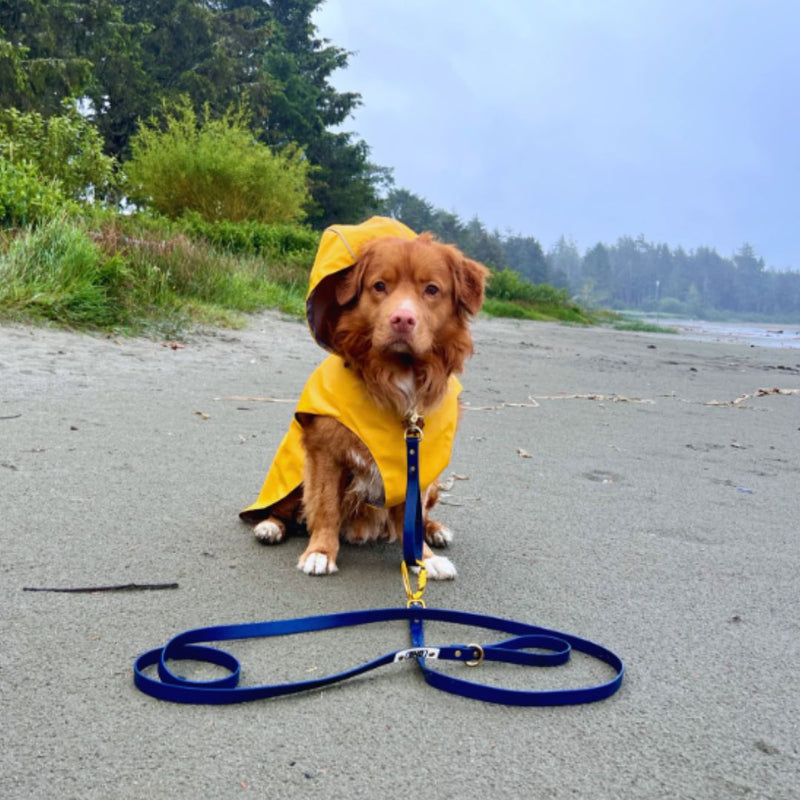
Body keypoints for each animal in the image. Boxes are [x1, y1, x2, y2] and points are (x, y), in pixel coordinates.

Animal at [241, 222, 488, 580]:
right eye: (379, 286)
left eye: (432, 289)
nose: (403, 319)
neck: (397, 375)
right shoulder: (325, 451)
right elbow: (326, 506)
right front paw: (320, 552)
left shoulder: (421, 463)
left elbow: (414, 520)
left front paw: (424, 559)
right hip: (295, 473)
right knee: (284, 509)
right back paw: (271, 526)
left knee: (424, 517)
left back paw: (436, 529)